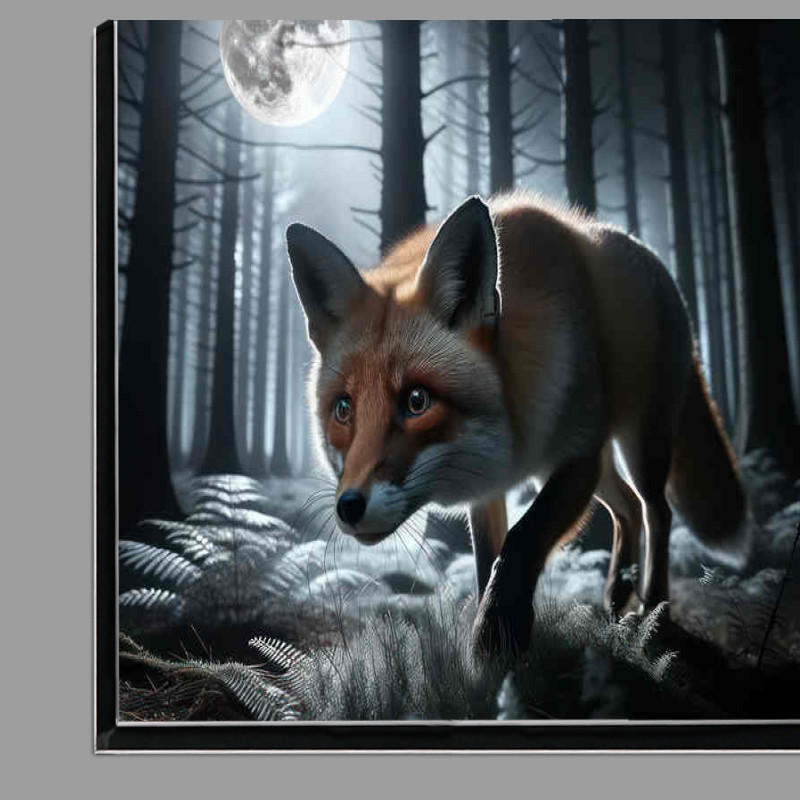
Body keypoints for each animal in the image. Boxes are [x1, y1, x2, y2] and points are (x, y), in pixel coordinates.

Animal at [285, 192, 747, 656]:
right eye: (344, 409)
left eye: (417, 401)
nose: (349, 507)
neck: (511, 433)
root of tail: (659, 267)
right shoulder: (490, 487)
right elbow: (487, 562)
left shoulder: (577, 455)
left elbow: (523, 538)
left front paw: (497, 634)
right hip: (601, 465)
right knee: (629, 506)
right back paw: (617, 595)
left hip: (640, 444)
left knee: (657, 510)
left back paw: (654, 610)